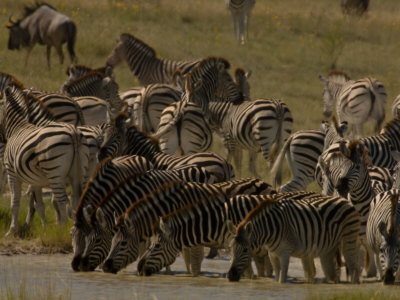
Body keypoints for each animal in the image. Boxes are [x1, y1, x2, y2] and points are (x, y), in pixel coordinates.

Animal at [1, 84, 88, 237]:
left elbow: (15, 202)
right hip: (77, 174)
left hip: (55, 173)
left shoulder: (12, 172)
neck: (18, 127)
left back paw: (62, 231)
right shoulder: (35, 180)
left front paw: (12, 230)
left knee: (62, 201)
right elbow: (39, 205)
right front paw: (44, 229)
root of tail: (74, 134)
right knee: (75, 201)